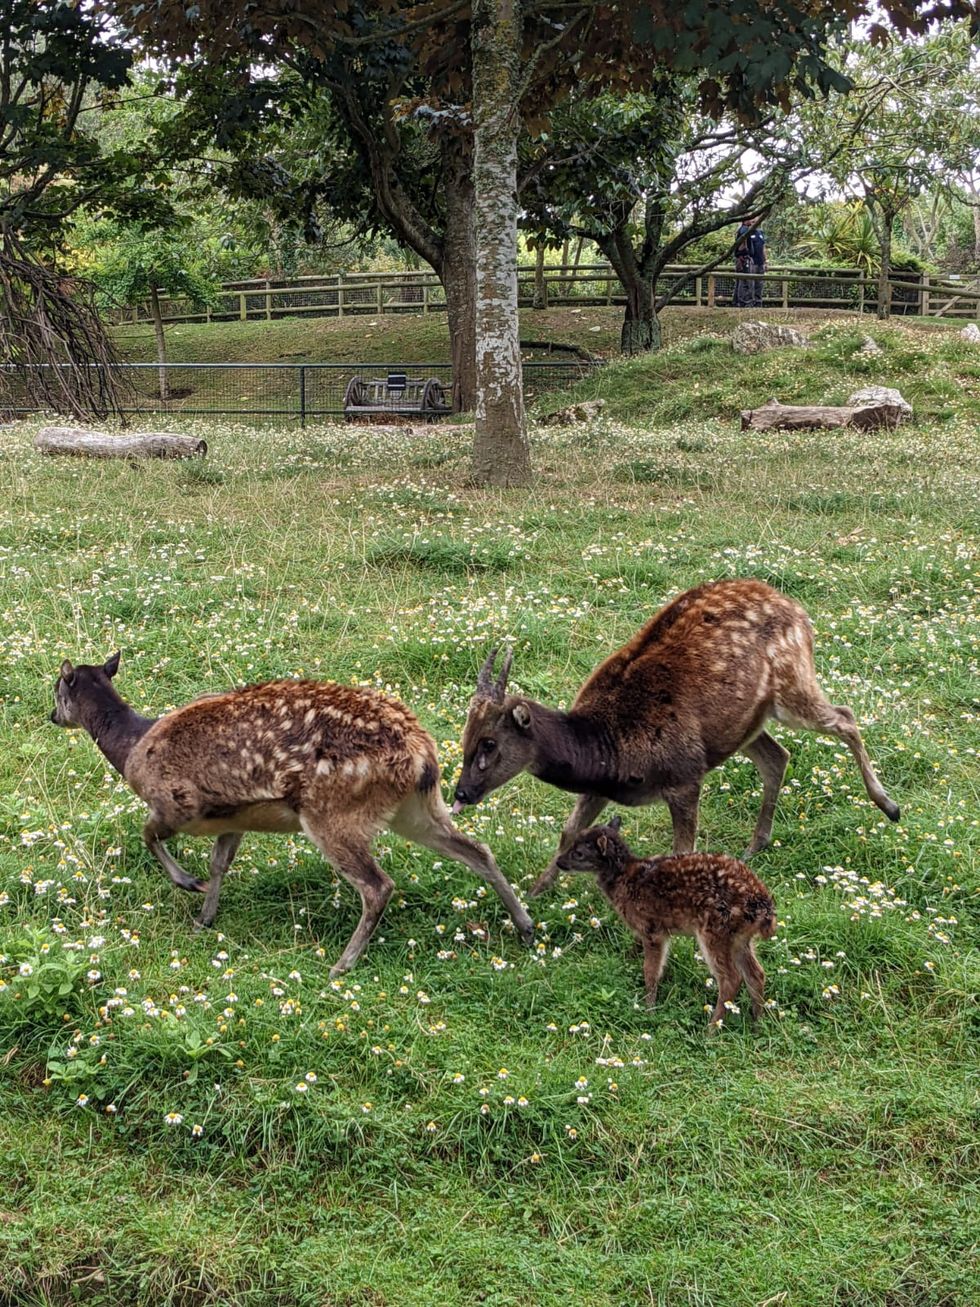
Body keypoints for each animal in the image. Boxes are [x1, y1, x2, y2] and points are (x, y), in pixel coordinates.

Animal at [53, 653, 538, 972]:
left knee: (378, 885)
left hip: (332, 812)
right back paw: (525, 926)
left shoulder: (175, 802)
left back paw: (342, 964)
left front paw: (187, 883)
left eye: (57, 689)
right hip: (419, 808)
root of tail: (423, 755)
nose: (51, 716)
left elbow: (148, 835)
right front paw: (204, 917)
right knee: (478, 850)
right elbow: (220, 862)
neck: (132, 748)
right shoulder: (235, 817)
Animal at [457, 577, 904, 893]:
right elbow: (568, 830)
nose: (461, 793)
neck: (608, 748)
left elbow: (681, 851)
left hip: (793, 682)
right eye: (463, 738)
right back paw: (756, 844)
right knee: (778, 755)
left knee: (845, 717)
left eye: (489, 742)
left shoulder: (685, 775)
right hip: (746, 724)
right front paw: (535, 895)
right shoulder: (600, 786)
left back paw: (889, 806)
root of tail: (798, 609)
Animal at [556, 815, 778, 1029]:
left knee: (731, 979)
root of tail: (764, 907)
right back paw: (757, 1023)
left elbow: (651, 971)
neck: (625, 878)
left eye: (578, 853)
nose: (559, 861)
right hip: (739, 937)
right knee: (756, 974)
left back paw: (711, 1029)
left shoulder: (652, 929)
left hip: (716, 930)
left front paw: (649, 1008)